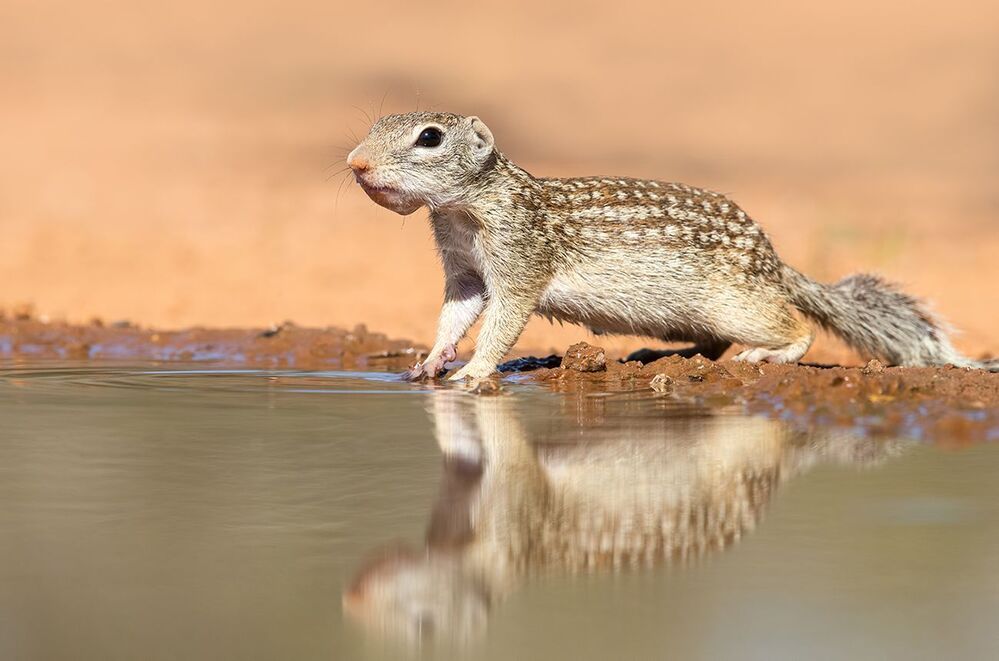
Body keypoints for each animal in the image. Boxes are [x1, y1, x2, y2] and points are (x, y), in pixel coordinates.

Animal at [346, 111, 996, 380]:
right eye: (374, 124)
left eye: (430, 138)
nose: (355, 163)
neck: (465, 207)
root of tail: (773, 261)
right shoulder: (464, 270)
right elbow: (456, 314)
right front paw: (431, 360)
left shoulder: (520, 258)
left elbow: (504, 321)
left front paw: (476, 371)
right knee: (711, 344)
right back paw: (659, 356)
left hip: (739, 304)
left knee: (793, 327)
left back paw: (768, 355)